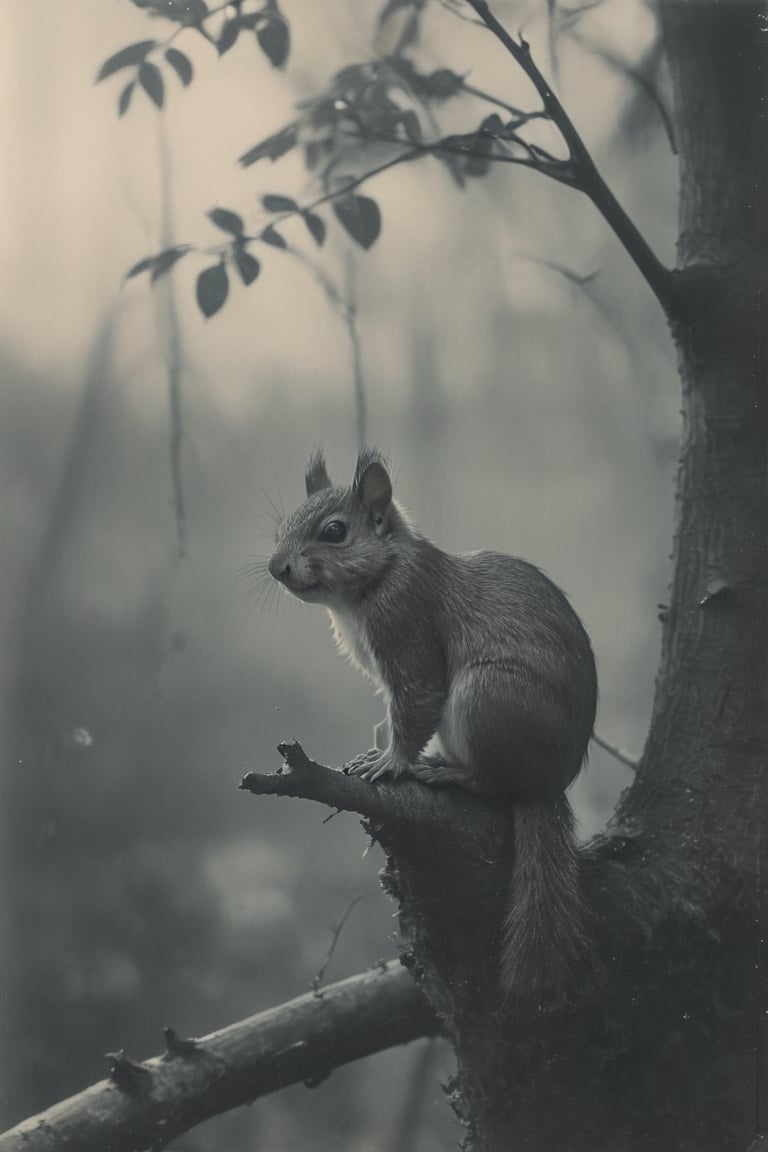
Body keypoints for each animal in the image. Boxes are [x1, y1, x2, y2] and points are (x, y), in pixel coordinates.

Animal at [270, 444, 598, 995]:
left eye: (334, 532)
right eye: (281, 527)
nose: (277, 567)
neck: (376, 579)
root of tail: (549, 780)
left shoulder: (407, 628)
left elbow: (415, 702)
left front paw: (391, 763)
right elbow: (389, 716)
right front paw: (376, 749)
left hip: (486, 699)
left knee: (492, 783)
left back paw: (449, 773)